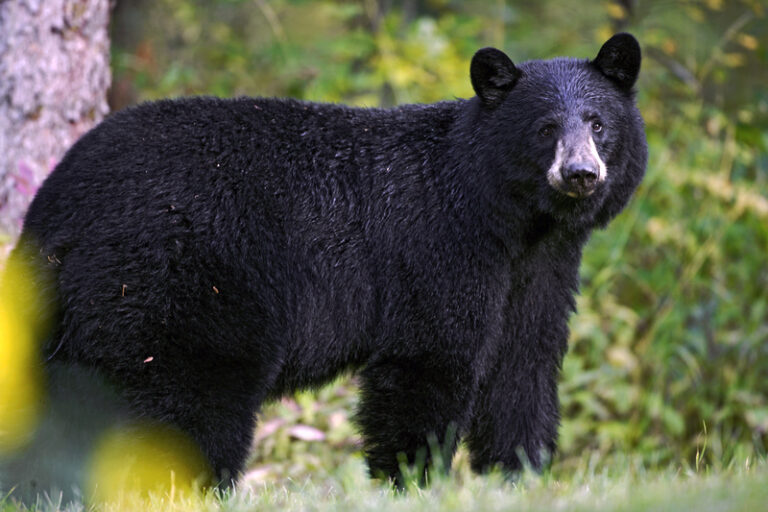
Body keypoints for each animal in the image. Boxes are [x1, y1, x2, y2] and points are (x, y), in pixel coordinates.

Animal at [6, 33, 646, 487]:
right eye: (544, 128)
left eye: (598, 123)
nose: (581, 174)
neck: (510, 218)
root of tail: (55, 209)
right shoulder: (438, 249)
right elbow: (430, 360)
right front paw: (414, 481)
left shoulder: (540, 270)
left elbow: (523, 365)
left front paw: (518, 476)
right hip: (176, 288)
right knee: (183, 404)